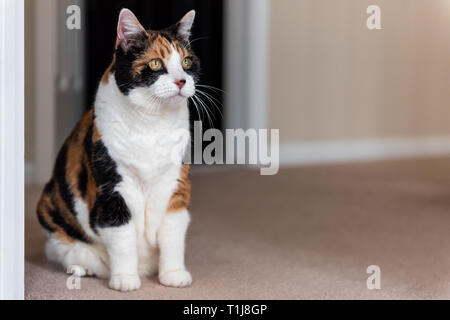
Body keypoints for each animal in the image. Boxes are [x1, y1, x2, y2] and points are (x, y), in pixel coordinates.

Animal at [35, 8, 197, 292]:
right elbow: (121, 236)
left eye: (187, 62)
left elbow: (173, 230)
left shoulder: (176, 184)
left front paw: (173, 274)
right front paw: (125, 280)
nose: (182, 81)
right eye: (156, 63)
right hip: (50, 207)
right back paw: (83, 267)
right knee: (60, 249)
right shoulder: (112, 188)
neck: (151, 123)